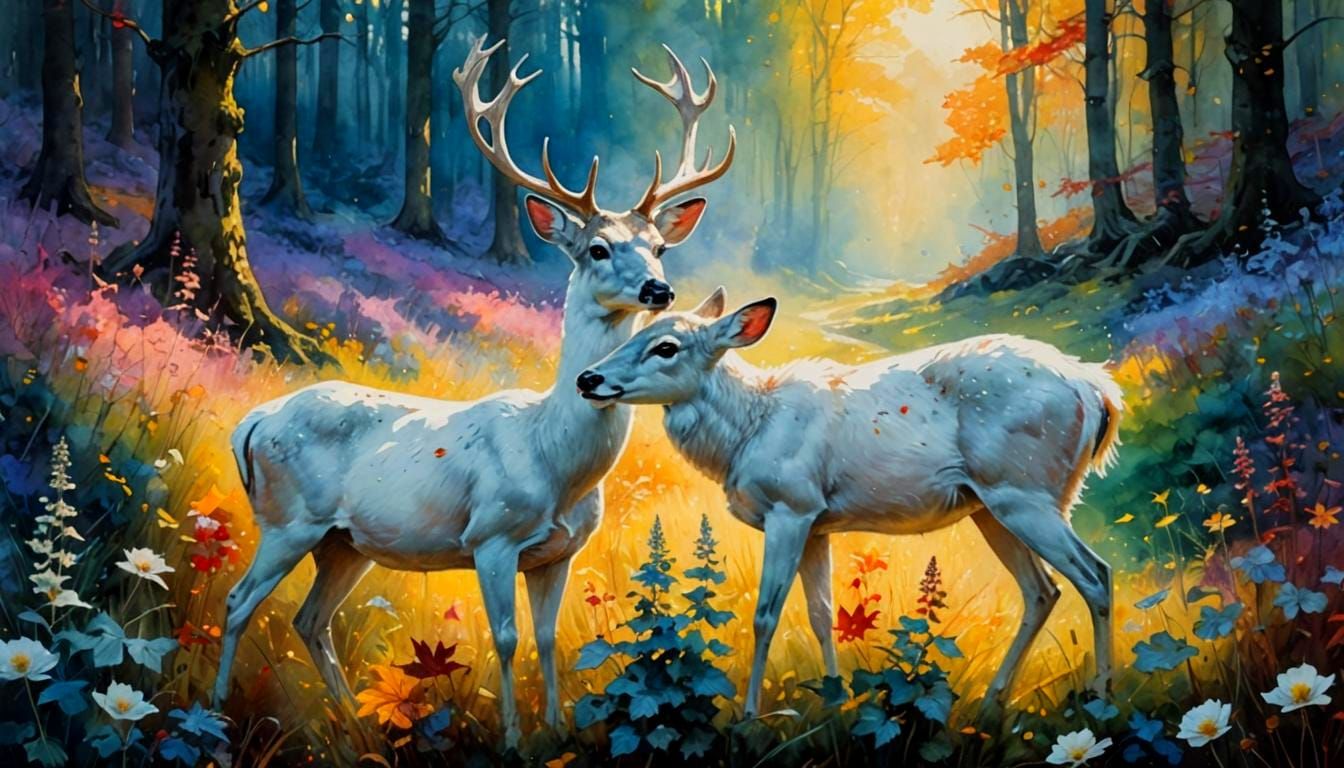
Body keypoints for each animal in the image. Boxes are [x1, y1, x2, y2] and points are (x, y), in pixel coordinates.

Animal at [211, 38, 735, 746]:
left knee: (309, 619)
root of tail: (252, 421)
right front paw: (513, 738)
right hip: (289, 519)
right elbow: (508, 639)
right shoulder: (492, 536)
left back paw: (354, 722)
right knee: (239, 602)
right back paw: (214, 713)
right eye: (597, 248)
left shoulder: (557, 553)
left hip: (344, 542)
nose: (659, 289)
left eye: (659, 246)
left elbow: (548, 640)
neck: (555, 458)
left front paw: (556, 729)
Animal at [574, 290, 1123, 723]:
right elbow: (821, 614)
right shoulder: (817, 523)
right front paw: (834, 701)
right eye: (639, 332)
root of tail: (1099, 394)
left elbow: (765, 615)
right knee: (1042, 591)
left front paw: (749, 715)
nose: (587, 379)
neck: (748, 431)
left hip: (1026, 492)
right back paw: (993, 701)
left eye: (666, 346)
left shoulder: (790, 506)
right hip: (992, 504)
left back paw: (1100, 698)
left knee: (1094, 575)